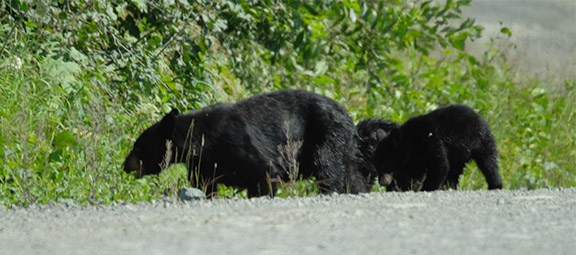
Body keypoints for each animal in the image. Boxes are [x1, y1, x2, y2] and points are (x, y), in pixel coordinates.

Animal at [123, 89, 366, 197]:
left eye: (138, 147)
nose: (125, 166)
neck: (201, 140)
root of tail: (348, 116)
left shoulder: (242, 145)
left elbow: (264, 173)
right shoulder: (203, 164)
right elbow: (204, 185)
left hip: (327, 137)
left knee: (328, 167)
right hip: (346, 148)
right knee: (352, 174)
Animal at [374, 104, 504, 191]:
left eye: (384, 165)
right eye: (377, 167)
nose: (382, 183)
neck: (411, 142)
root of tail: (481, 118)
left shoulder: (430, 140)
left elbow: (440, 165)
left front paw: (427, 188)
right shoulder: (415, 158)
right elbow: (415, 172)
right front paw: (405, 187)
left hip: (482, 142)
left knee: (489, 164)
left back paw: (495, 185)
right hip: (459, 155)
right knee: (455, 171)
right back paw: (449, 186)